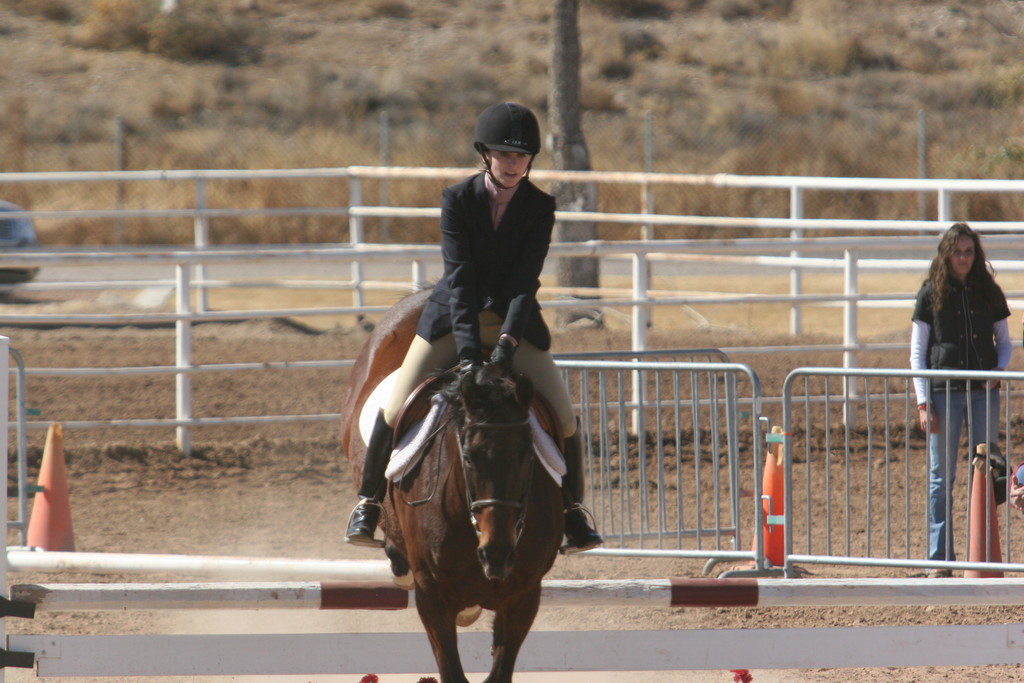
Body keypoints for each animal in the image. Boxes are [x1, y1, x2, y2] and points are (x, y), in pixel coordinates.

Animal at [342, 290, 569, 683]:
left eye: (528, 454)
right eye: (468, 457)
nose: (497, 554)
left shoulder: (524, 596)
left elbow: (499, 673)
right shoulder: (433, 596)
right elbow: (451, 670)